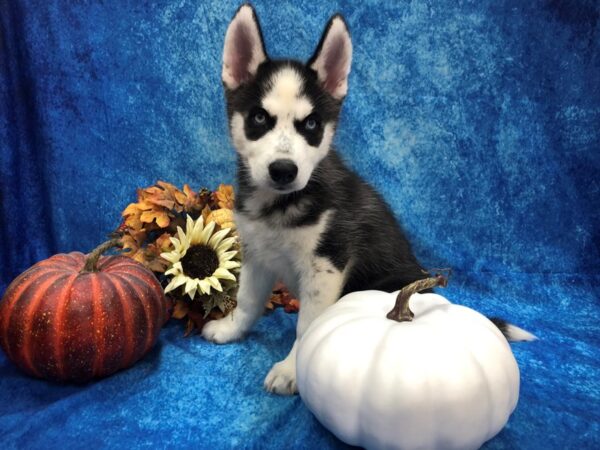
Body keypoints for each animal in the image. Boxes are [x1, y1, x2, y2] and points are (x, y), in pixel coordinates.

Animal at [203, 3, 536, 394]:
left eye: (311, 125)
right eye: (258, 118)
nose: (283, 170)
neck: (281, 204)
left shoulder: (327, 264)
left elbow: (308, 326)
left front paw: (290, 370)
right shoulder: (258, 253)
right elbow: (248, 301)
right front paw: (231, 330)